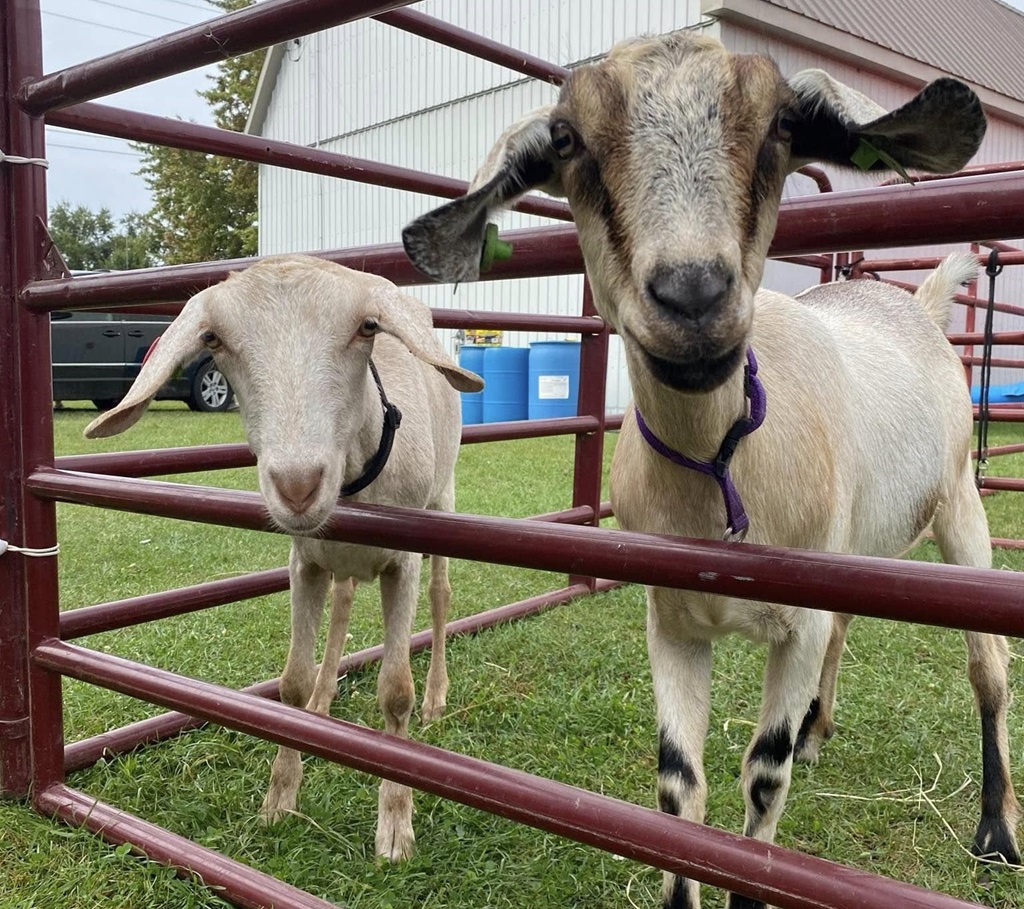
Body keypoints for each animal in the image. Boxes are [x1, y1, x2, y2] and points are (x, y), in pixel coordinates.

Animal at [84, 255, 484, 862]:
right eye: (213, 339)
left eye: (367, 327)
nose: (297, 485)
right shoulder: (305, 562)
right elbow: (290, 682)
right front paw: (280, 797)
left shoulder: (402, 563)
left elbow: (395, 692)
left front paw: (395, 827)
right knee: (343, 601)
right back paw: (322, 701)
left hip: (444, 499)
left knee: (441, 596)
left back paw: (438, 697)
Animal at [402, 31, 1019, 909]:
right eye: (568, 141)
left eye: (782, 126)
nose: (692, 293)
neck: (724, 471)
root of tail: (919, 304)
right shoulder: (670, 620)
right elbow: (677, 785)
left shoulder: (795, 625)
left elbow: (762, 780)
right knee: (854, 627)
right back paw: (822, 729)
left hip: (962, 505)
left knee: (987, 667)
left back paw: (996, 831)